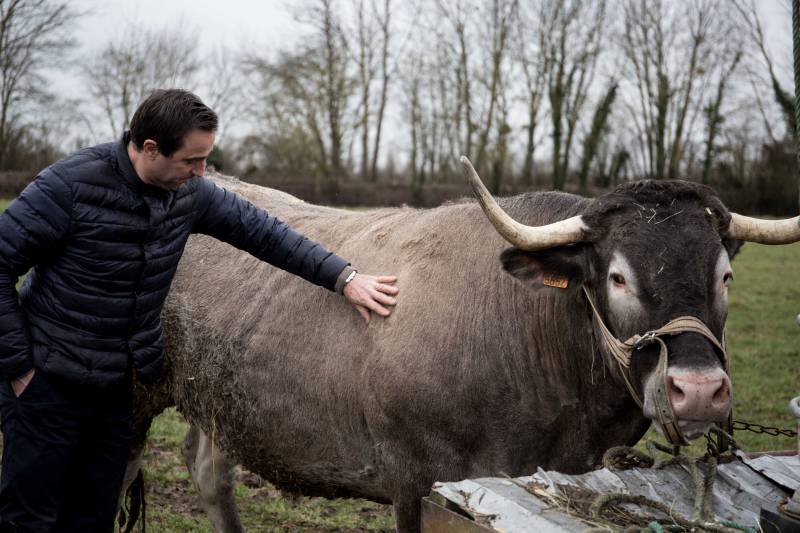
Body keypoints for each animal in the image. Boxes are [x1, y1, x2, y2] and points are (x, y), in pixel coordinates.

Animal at [120, 159, 800, 532]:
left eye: (725, 275)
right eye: (617, 277)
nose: (700, 390)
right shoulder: (414, 478)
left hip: (218, 395)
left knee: (208, 469)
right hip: (133, 398)